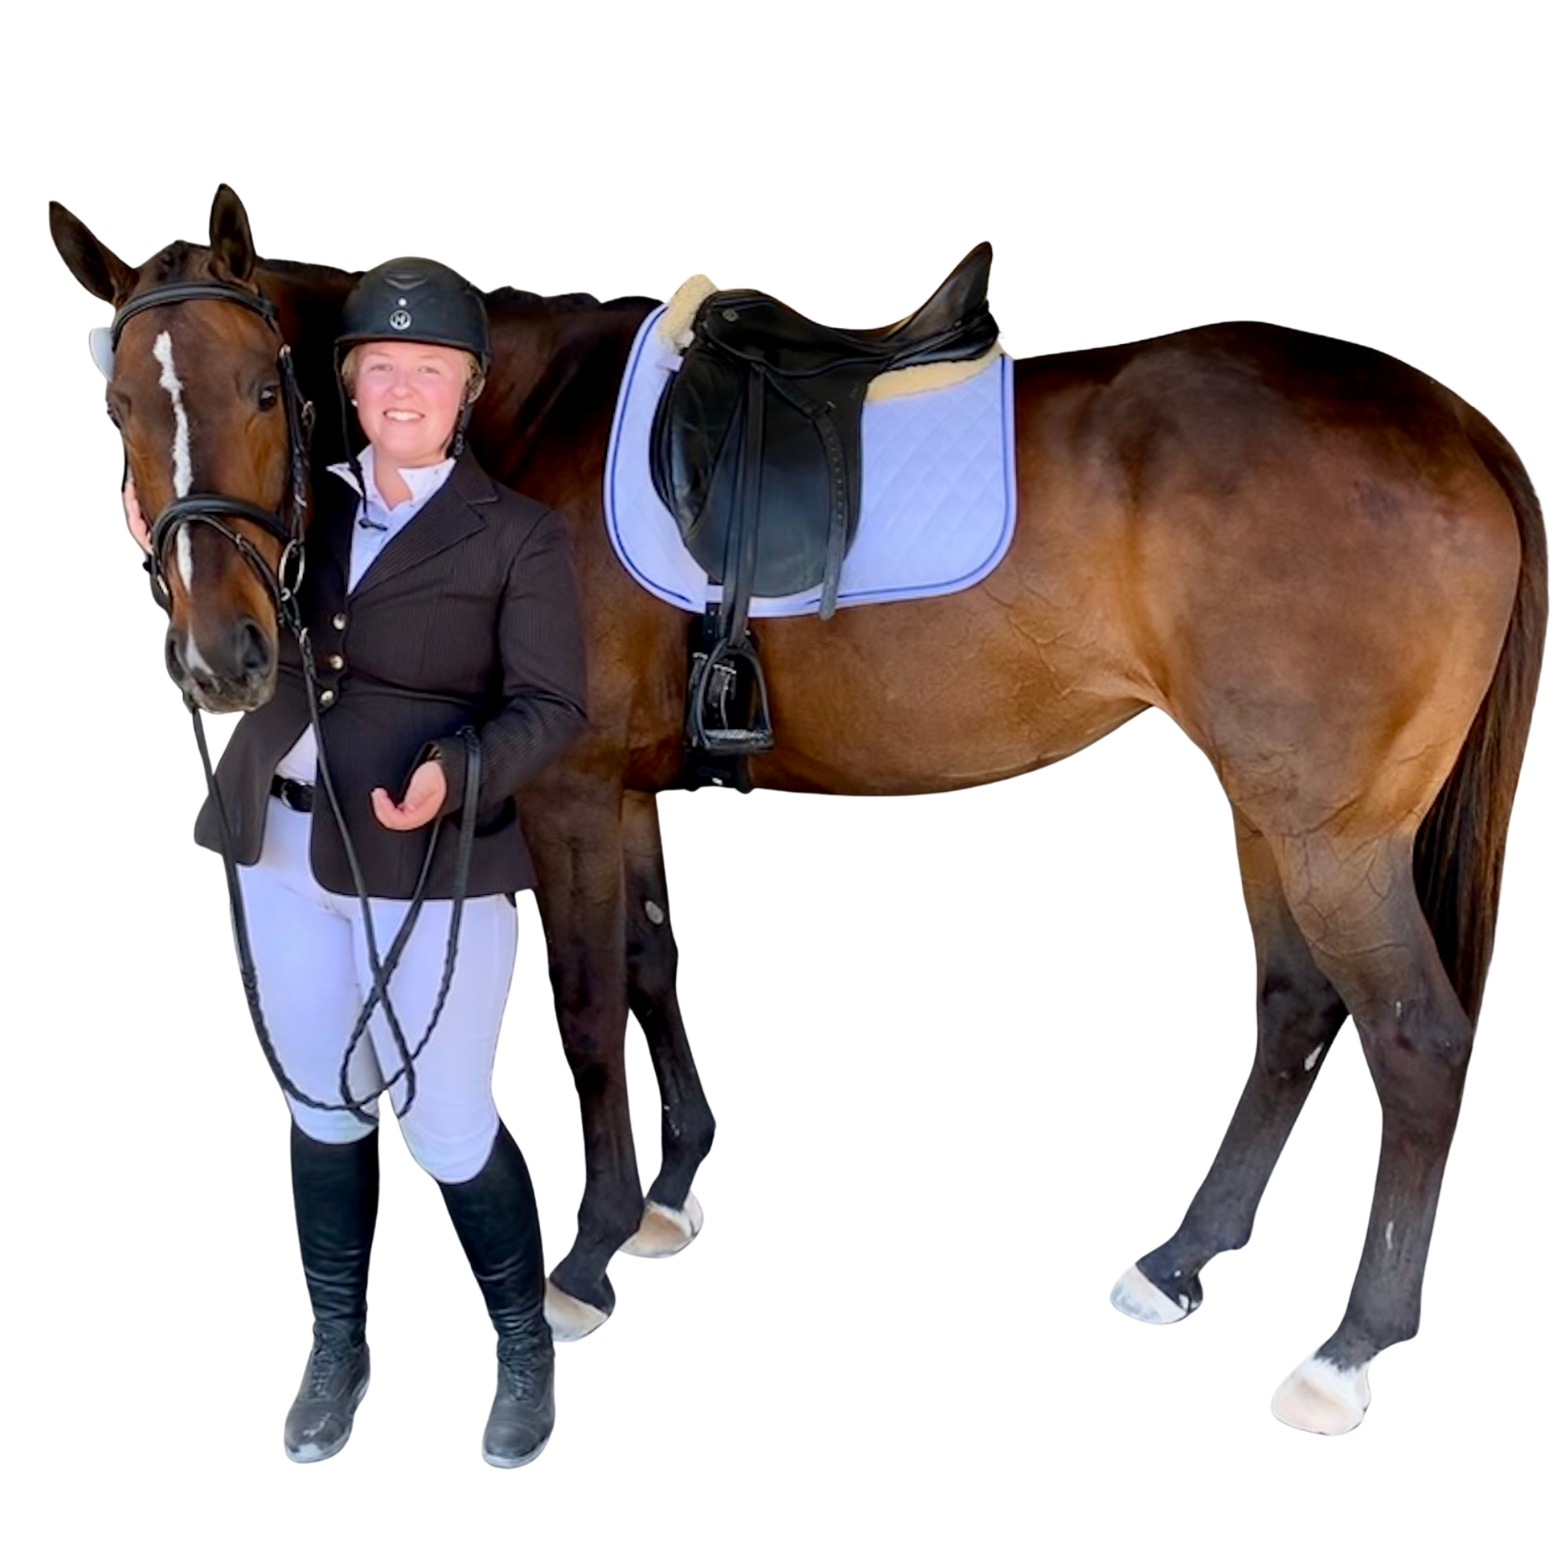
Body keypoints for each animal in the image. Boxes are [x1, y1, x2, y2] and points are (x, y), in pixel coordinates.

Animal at [51, 186, 1547, 1438]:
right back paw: (1178, 1266)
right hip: (1271, 809)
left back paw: (1346, 1351)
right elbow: (653, 963)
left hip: (1333, 834)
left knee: (1413, 1041)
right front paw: (670, 1197)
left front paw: (588, 1255)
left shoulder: (571, 789)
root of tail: (1443, 415)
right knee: (1295, 1014)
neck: (515, 411)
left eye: (263, 387)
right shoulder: (627, 796)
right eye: (119, 410)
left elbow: (588, 1010)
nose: (223, 660)